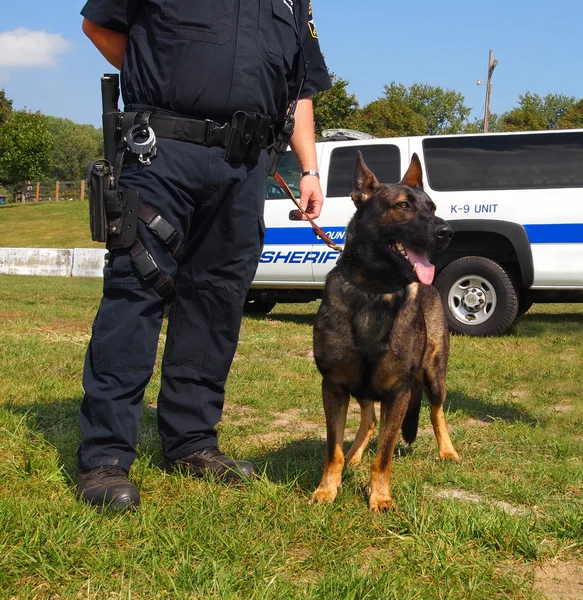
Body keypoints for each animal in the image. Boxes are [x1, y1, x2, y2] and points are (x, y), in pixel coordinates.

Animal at [312, 152, 458, 512]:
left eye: (432, 207)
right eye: (403, 206)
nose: (447, 232)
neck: (375, 292)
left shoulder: (399, 393)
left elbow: (385, 454)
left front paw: (379, 497)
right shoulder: (333, 386)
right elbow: (333, 449)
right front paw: (327, 488)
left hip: (433, 376)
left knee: (437, 411)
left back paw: (447, 451)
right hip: (363, 387)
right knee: (368, 420)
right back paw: (354, 454)